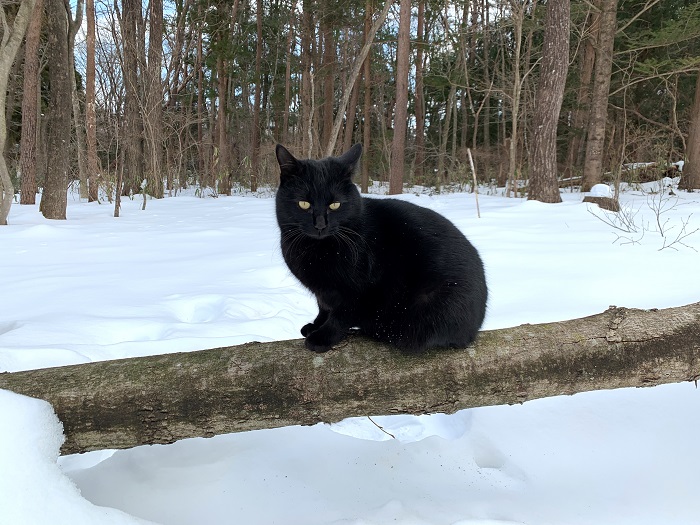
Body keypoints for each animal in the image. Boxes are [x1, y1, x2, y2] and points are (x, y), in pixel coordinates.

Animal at [274, 143, 486, 352]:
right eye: (304, 204)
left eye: (335, 205)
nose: (320, 225)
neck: (316, 249)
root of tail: (476, 327)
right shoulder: (323, 292)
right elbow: (323, 308)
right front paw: (315, 325)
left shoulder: (360, 291)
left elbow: (341, 316)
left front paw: (322, 337)